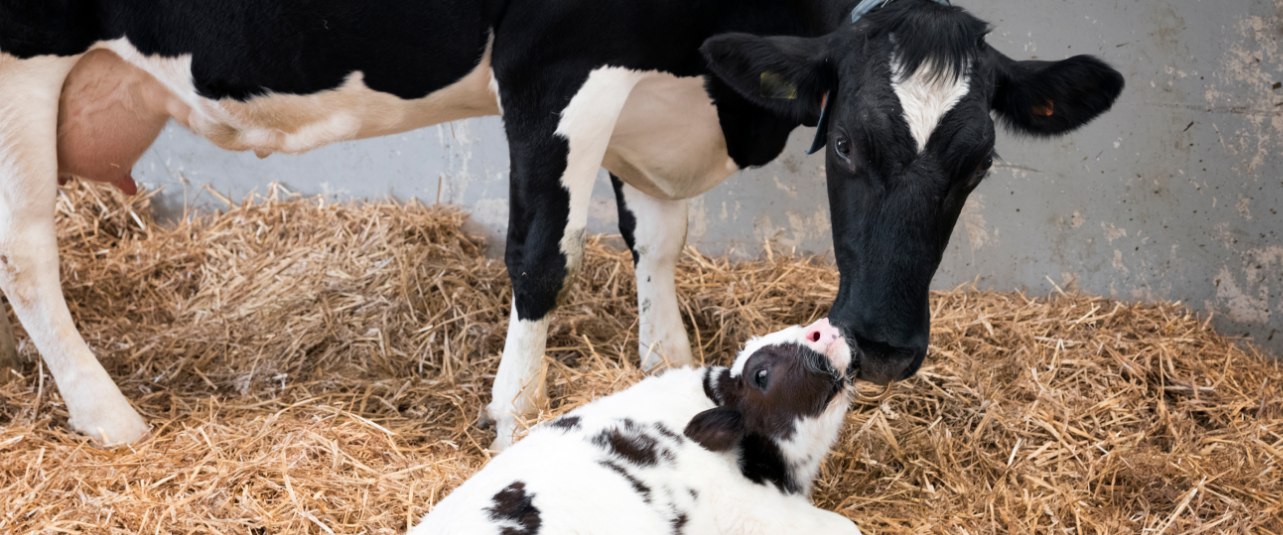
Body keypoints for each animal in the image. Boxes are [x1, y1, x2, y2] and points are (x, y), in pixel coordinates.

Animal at [0, 0, 1123, 449]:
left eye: (978, 161)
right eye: (843, 145)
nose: (886, 345)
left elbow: (658, 248)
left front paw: (667, 372)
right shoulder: (556, 62)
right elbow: (542, 254)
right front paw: (511, 417)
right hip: (20, 61)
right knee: (25, 252)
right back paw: (107, 414)